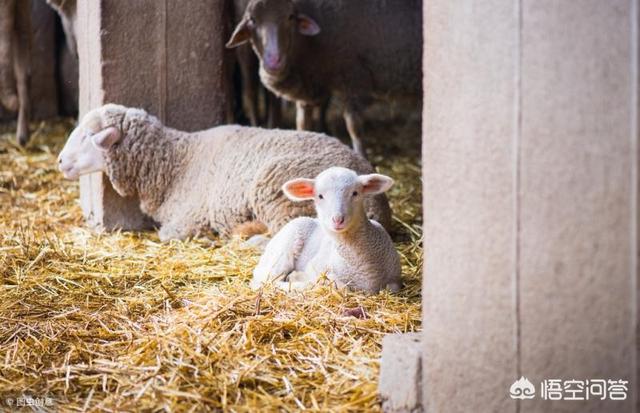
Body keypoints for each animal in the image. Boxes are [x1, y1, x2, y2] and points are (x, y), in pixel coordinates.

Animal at [228, 0, 422, 156]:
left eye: (290, 17)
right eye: (252, 20)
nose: (274, 62)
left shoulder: (351, 77)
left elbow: (354, 128)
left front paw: (361, 157)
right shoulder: (306, 89)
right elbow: (302, 125)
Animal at [250, 165, 400, 292]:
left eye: (355, 193)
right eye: (320, 196)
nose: (338, 219)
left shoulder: (395, 282)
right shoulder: (314, 266)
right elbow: (336, 285)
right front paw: (298, 277)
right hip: (283, 251)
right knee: (265, 279)